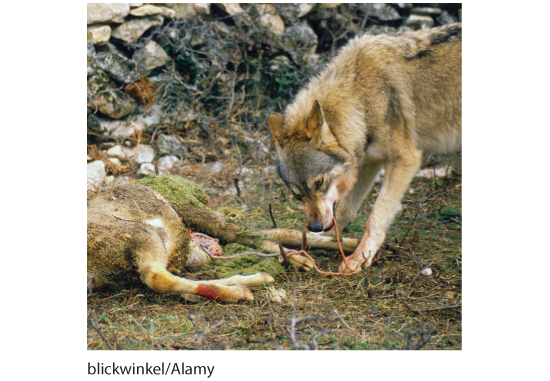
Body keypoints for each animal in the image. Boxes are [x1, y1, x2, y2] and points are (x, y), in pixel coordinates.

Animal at [270, 23, 464, 272]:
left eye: (319, 183)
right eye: (296, 195)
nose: (313, 227)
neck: (360, 99)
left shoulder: (405, 160)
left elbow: (375, 218)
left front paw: (360, 258)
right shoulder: (369, 163)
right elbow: (343, 209)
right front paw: (321, 242)